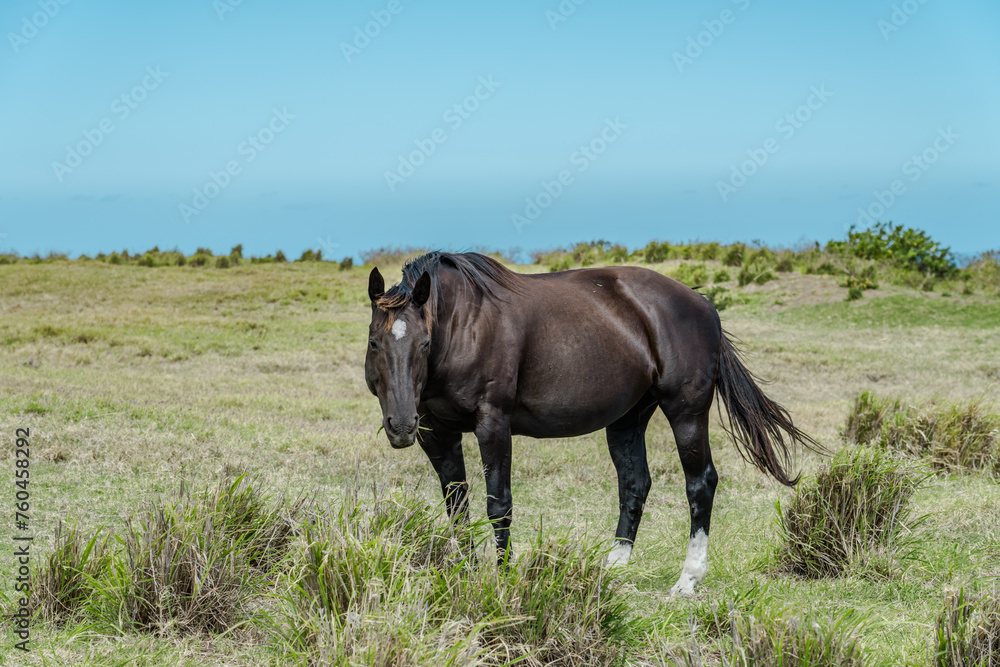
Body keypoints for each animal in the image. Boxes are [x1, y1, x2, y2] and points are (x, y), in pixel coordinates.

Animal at [364, 251, 817, 594]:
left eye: (424, 343)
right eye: (374, 342)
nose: (400, 425)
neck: (462, 326)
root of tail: (703, 305)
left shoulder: (493, 425)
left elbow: (498, 505)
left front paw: (503, 577)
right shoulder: (436, 434)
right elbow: (457, 506)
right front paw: (465, 572)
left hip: (686, 413)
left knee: (700, 483)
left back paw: (688, 580)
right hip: (628, 419)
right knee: (635, 484)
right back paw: (614, 565)